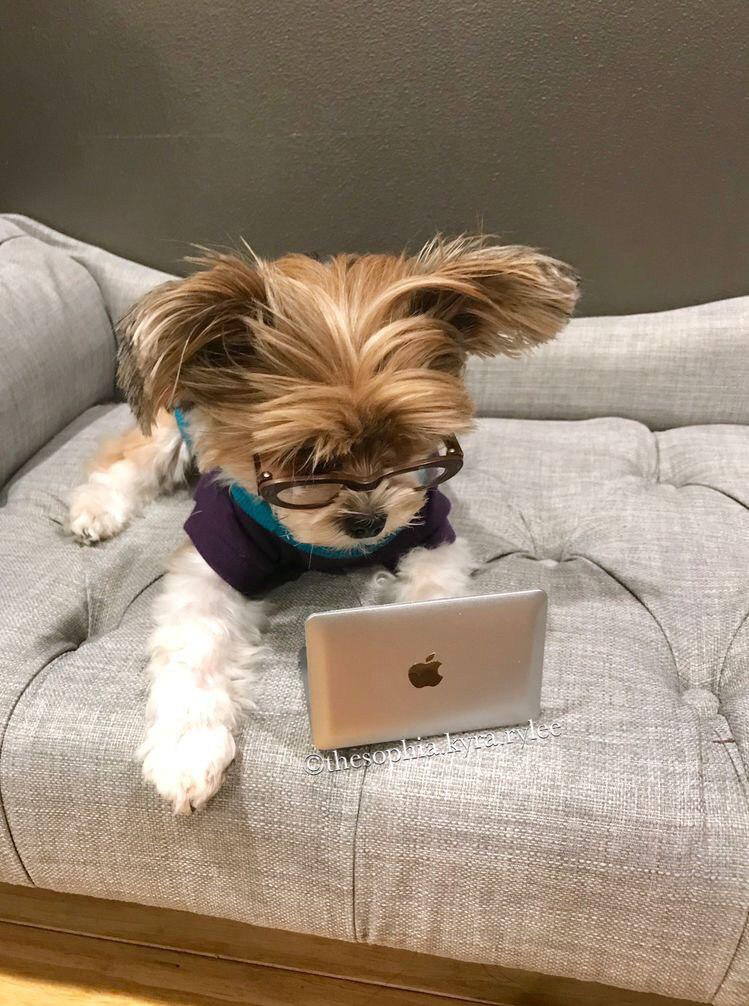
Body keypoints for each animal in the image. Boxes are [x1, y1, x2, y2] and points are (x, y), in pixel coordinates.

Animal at [65, 231, 579, 812]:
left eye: (407, 443)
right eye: (305, 458)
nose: (370, 523)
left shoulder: (429, 528)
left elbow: (433, 594)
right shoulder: (214, 554)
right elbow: (195, 648)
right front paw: (186, 750)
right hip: (172, 426)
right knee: (129, 459)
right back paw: (95, 509)